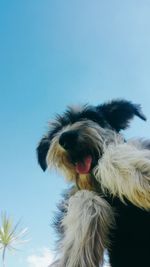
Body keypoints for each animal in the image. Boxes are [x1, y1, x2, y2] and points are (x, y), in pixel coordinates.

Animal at [36, 99, 150, 266]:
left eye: (91, 116)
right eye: (56, 130)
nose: (66, 138)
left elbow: (111, 154)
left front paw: (143, 174)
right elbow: (85, 197)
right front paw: (76, 255)